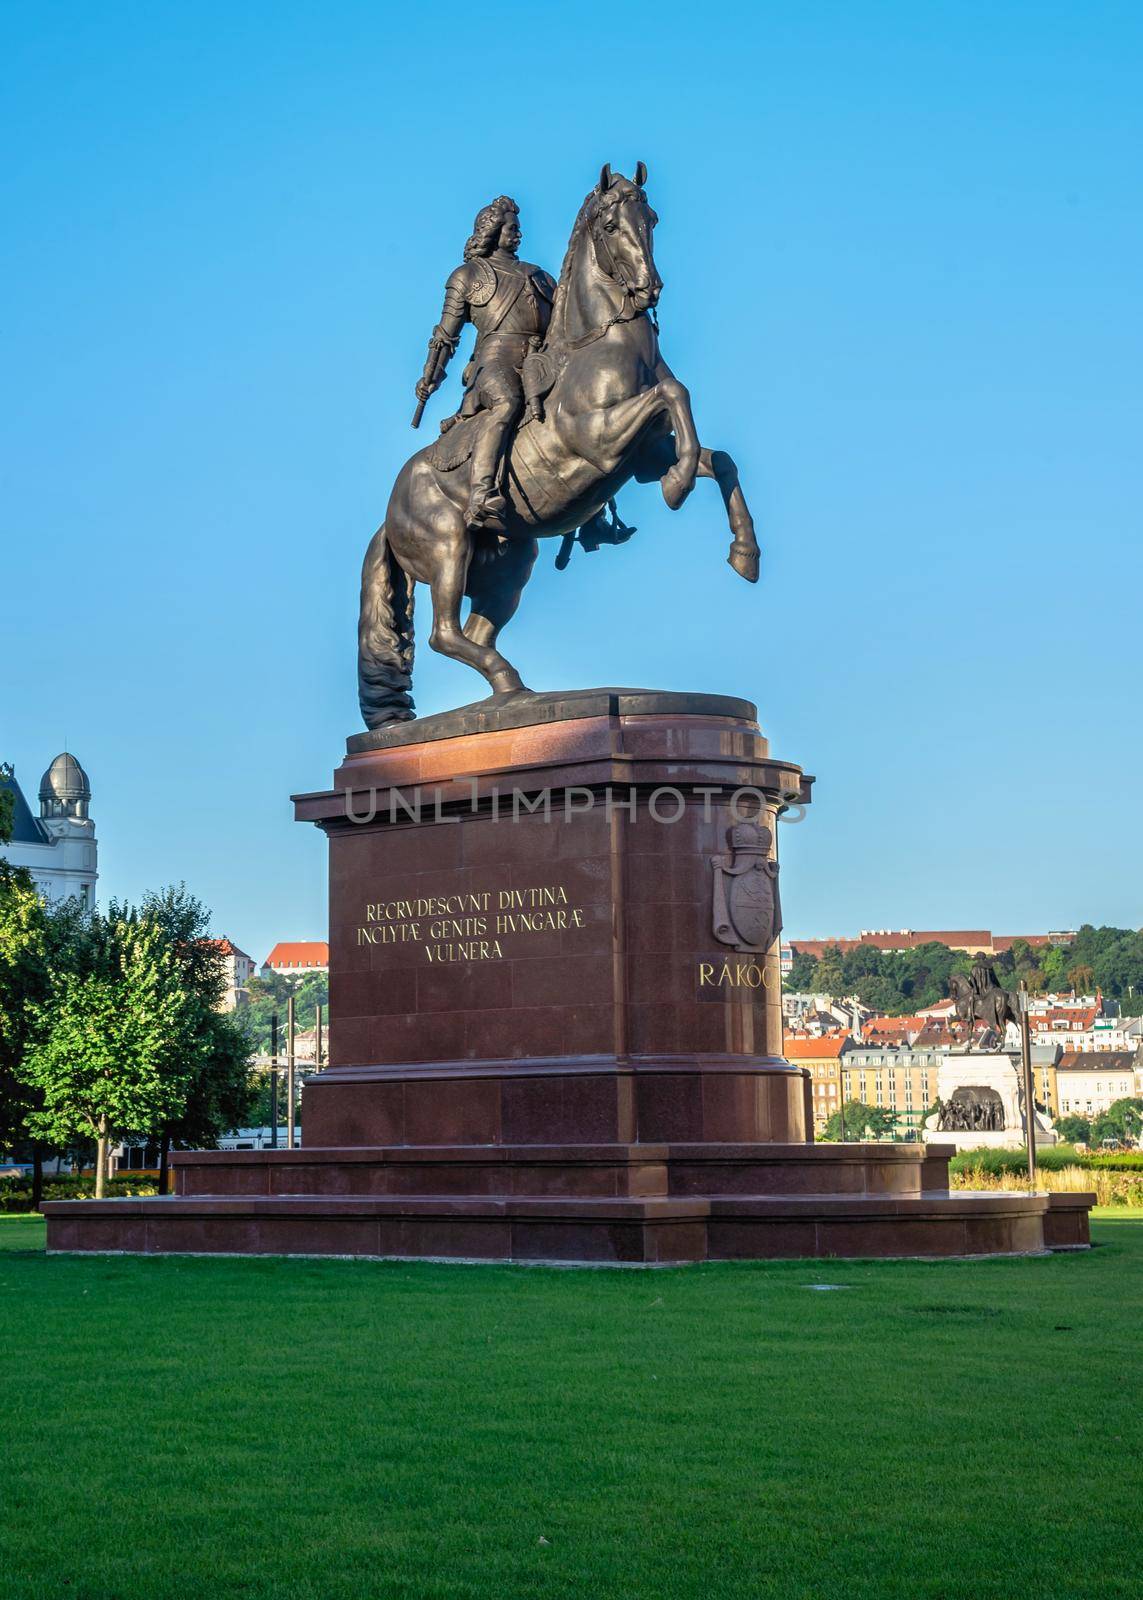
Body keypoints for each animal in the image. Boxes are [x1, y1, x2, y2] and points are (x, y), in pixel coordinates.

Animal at [360, 160, 762, 726]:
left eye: (652, 220)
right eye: (612, 225)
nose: (650, 289)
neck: (600, 345)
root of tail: (389, 512)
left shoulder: (644, 458)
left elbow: (717, 456)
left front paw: (745, 553)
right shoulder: (600, 440)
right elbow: (674, 394)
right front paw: (679, 489)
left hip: (509, 564)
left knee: (477, 632)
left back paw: (514, 694)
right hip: (447, 547)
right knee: (443, 633)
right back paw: (510, 682)